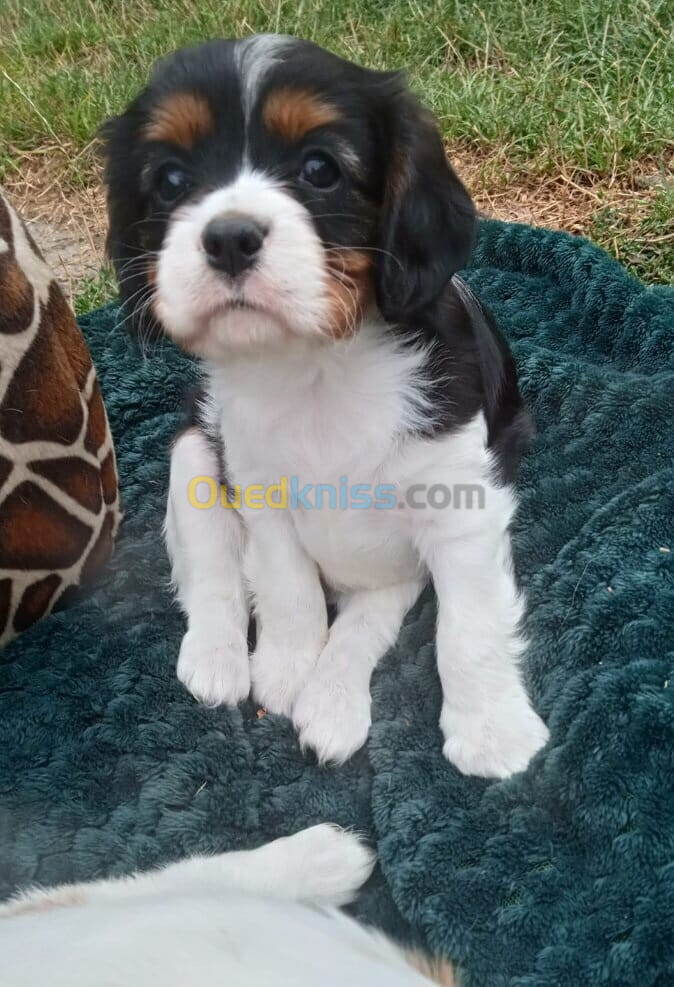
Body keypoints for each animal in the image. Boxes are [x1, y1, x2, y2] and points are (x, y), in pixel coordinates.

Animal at [103, 34, 544, 776]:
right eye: (170, 180)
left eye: (320, 169)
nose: (228, 237)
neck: (318, 365)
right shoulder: (256, 486)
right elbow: (287, 587)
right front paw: (284, 667)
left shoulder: (459, 502)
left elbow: (470, 625)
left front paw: (491, 730)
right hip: (193, 450)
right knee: (210, 571)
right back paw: (220, 659)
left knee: (372, 612)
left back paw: (333, 702)